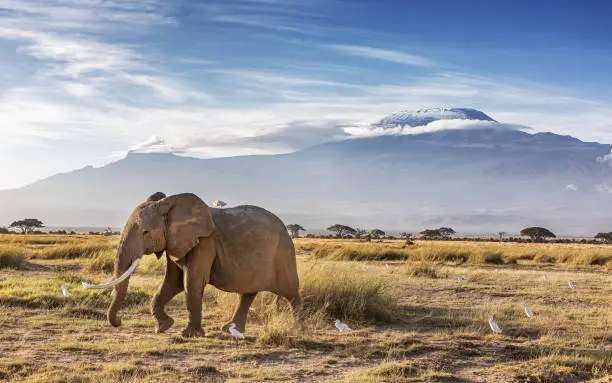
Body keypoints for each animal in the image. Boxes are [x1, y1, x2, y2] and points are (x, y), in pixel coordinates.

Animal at [103, 192, 302, 340]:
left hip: (284, 254)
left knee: (290, 292)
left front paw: (189, 335)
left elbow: (191, 283)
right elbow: (172, 283)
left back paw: (297, 328)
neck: (170, 204)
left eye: (146, 232)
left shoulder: (205, 243)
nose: (119, 321)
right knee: (248, 293)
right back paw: (230, 329)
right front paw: (162, 327)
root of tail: (286, 229)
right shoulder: (176, 243)